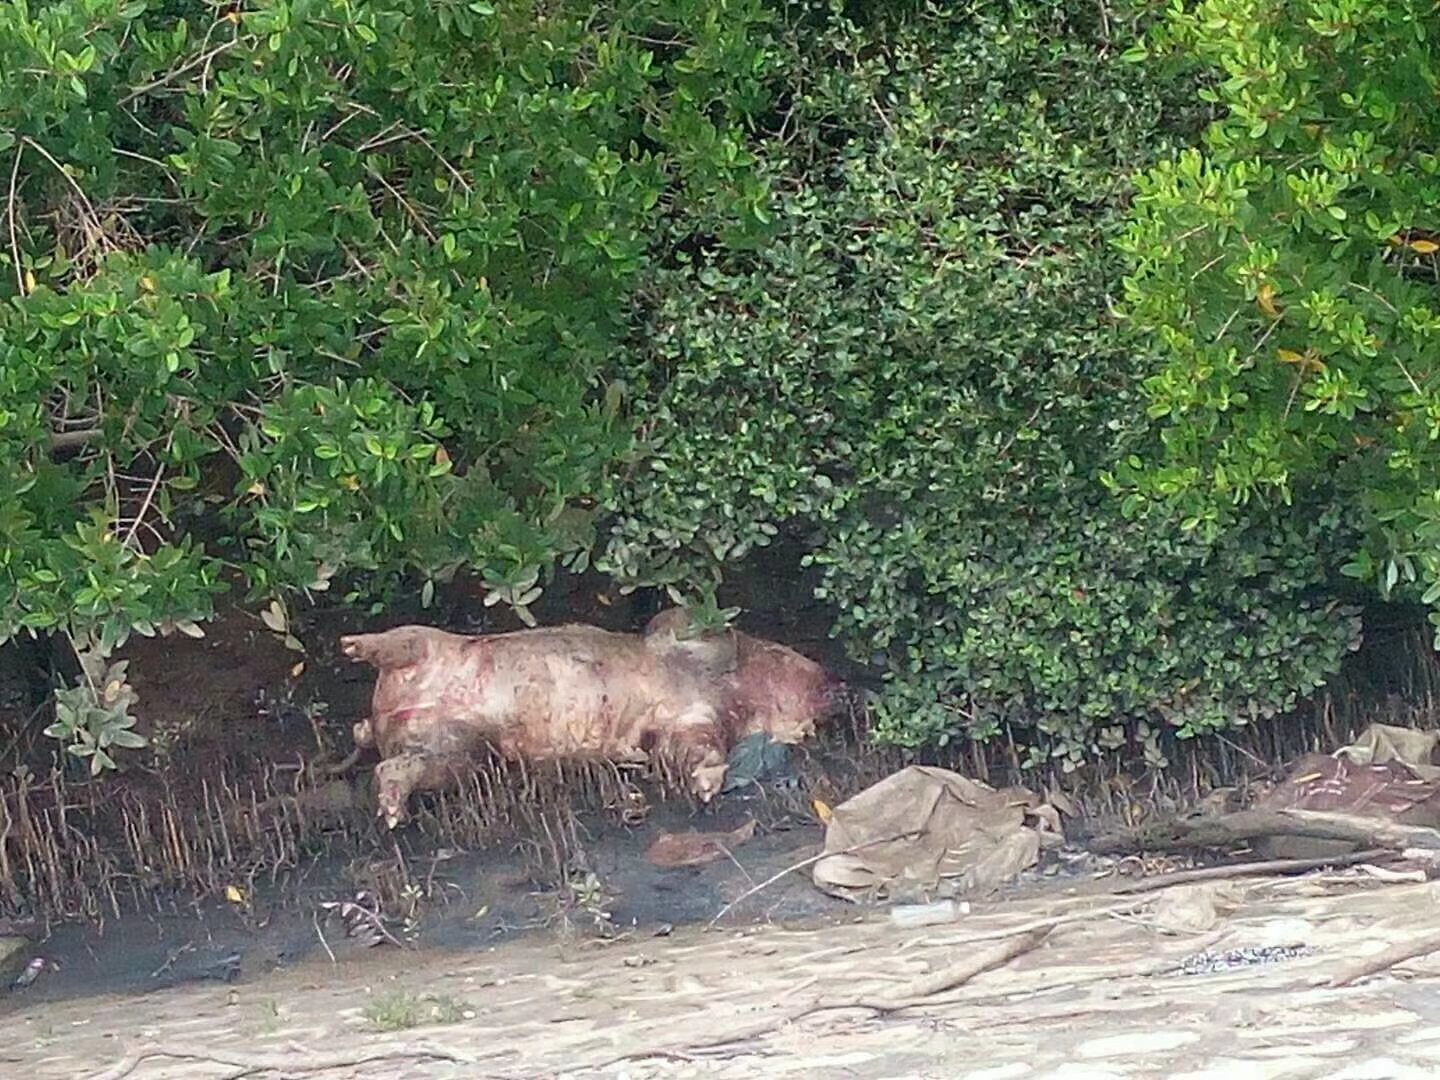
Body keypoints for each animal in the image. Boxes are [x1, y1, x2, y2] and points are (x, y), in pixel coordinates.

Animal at [341, 610, 840, 829]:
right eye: (789, 654)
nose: (838, 685)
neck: (733, 691)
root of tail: (381, 719)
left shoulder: (690, 722)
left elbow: (692, 748)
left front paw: (704, 788)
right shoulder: (679, 635)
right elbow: (692, 620)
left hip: (462, 749)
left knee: (406, 766)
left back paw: (391, 811)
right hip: (434, 647)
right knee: (403, 639)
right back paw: (351, 644)